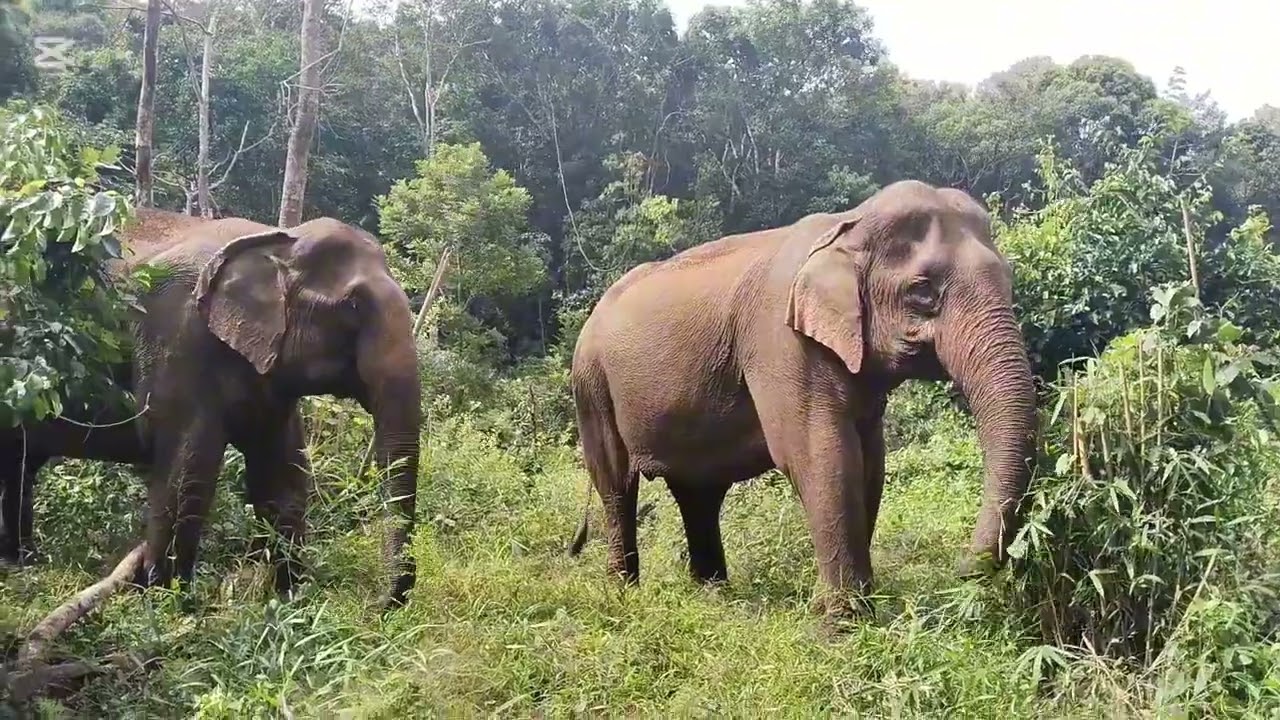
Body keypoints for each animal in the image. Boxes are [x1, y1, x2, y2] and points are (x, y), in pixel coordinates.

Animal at [0, 209, 422, 609]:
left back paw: (22, 564)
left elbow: (281, 476)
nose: (378, 605)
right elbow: (189, 468)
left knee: (18, 465)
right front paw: (169, 605)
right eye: (353, 305)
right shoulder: (178, 340)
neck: (276, 240)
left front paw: (292, 604)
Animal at [567, 179, 1037, 620]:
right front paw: (840, 625)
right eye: (922, 291)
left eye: (1010, 280)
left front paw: (856, 611)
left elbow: (870, 462)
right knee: (616, 484)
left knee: (698, 492)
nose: (962, 572)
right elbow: (821, 454)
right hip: (591, 385)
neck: (847, 225)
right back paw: (624, 592)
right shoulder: (782, 343)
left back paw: (713, 596)